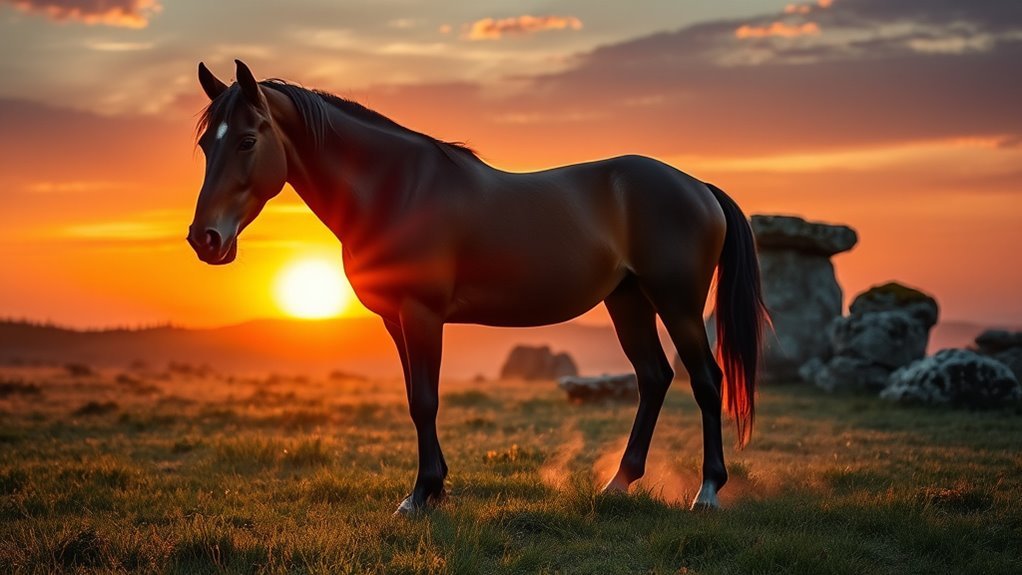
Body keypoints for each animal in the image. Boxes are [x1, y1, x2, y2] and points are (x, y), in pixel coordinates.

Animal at [188, 60, 767, 515]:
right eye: (204, 145)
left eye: (247, 140)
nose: (204, 239)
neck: (397, 190)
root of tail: (697, 186)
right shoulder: (395, 320)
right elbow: (415, 398)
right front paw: (432, 488)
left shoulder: (422, 313)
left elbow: (425, 400)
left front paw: (421, 495)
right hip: (627, 300)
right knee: (653, 377)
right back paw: (619, 483)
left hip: (678, 303)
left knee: (706, 380)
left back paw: (707, 492)